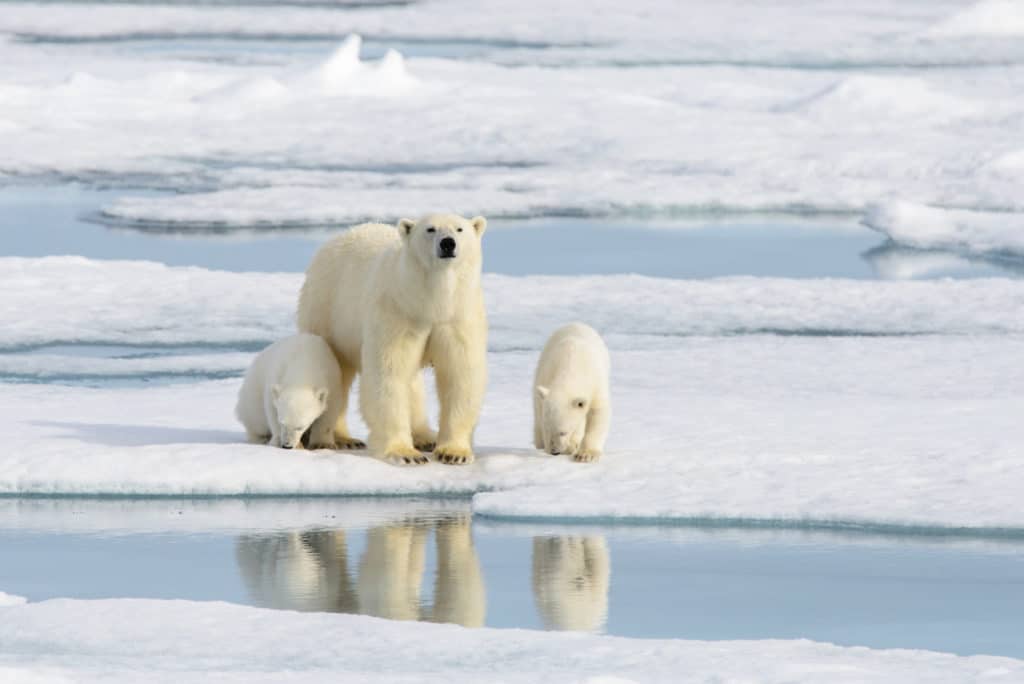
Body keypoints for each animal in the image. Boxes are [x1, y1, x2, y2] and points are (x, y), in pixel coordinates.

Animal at [296, 216, 487, 466]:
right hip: (327, 311)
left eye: (459, 229)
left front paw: (453, 453)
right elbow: (388, 374)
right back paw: (341, 438)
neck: (430, 303)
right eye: (430, 229)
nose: (447, 243)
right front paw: (405, 453)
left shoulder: (456, 317)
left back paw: (425, 436)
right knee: (336, 373)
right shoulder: (396, 313)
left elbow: (460, 375)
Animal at [536, 321, 606, 462]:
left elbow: (597, 414)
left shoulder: (596, 384)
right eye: (547, 428)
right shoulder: (546, 374)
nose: (554, 452)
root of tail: (576, 323)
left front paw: (585, 455)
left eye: (563, 432)